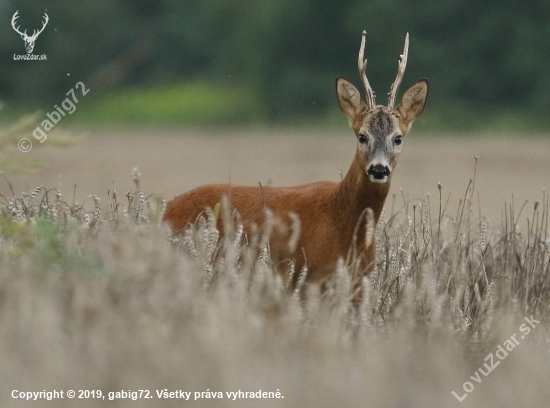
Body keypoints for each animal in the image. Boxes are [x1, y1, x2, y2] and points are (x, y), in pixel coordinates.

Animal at [164, 31, 432, 292]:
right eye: (362, 136)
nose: (378, 169)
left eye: (398, 138)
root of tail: (167, 209)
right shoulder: (309, 279)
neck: (343, 225)